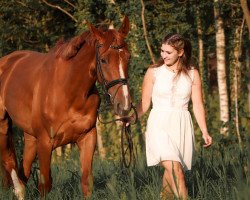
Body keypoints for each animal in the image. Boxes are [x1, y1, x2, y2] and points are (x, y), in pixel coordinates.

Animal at [0, 16, 133, 198]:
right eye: (104, 60)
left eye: (128, 57)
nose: (124, 103)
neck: (67, 91)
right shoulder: (45, 143)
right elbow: (44, 185)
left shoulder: (87, 137)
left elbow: (86, 182)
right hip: (4, 127)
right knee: (11, 166)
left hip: (30, 136)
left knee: (23, 171)